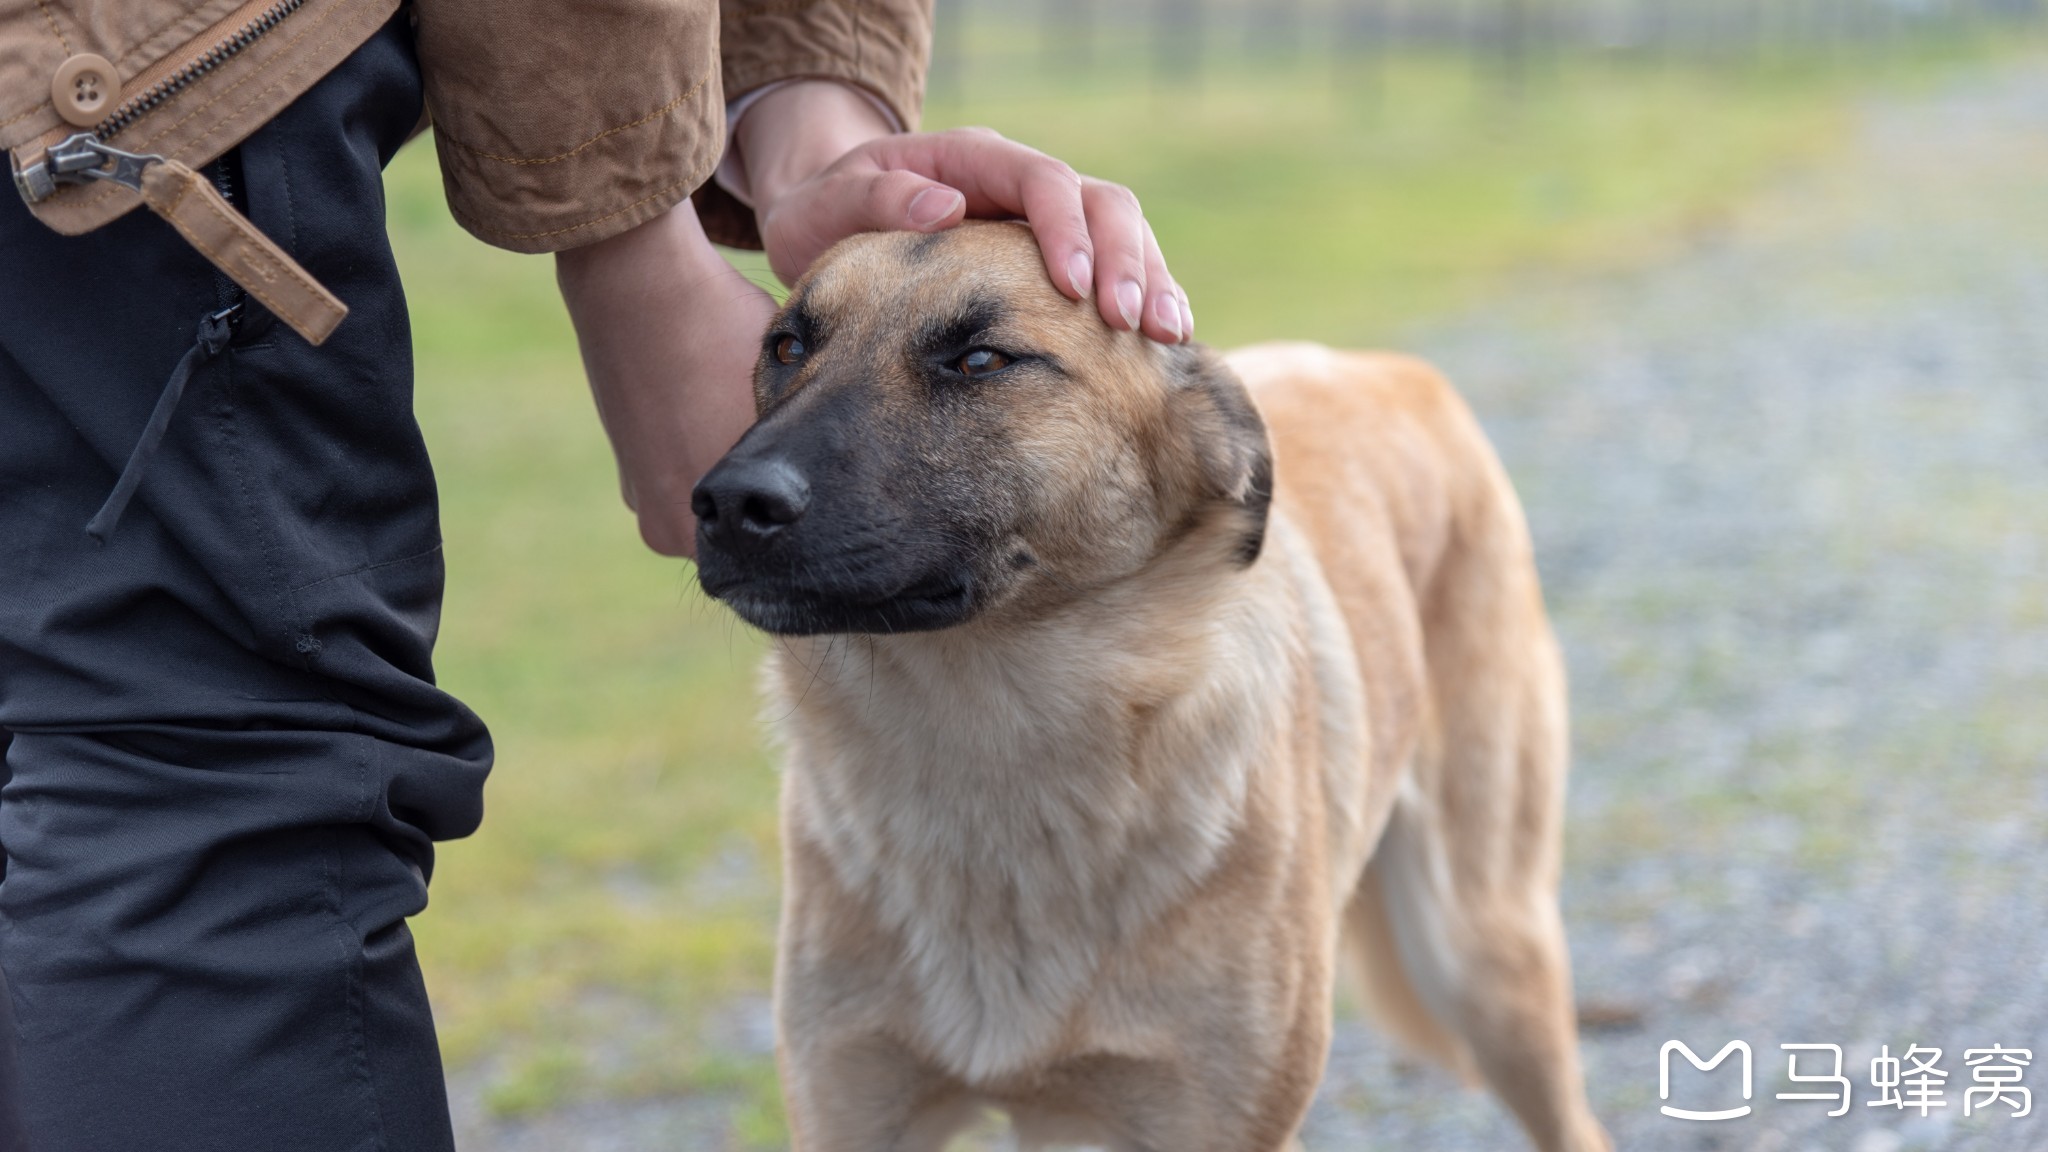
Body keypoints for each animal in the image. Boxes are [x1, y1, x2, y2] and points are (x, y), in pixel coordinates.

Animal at [692, 219, 1613, 1139]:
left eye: (980, 360)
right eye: (786, 346)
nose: (729, 503)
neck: (993, 754)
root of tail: (1391, 369)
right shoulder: (850, 1105)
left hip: (1486, 956)